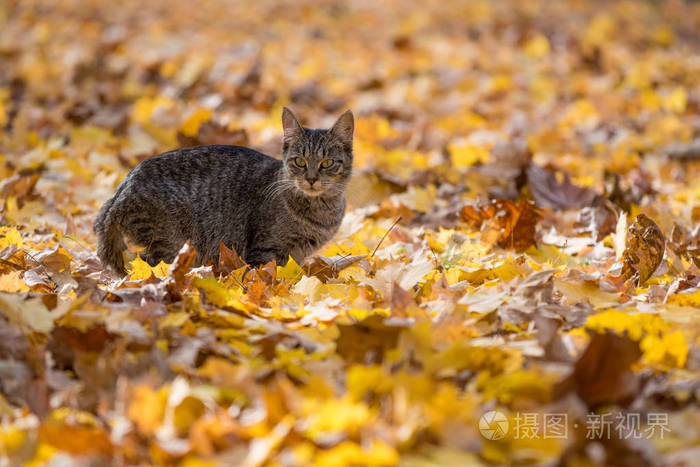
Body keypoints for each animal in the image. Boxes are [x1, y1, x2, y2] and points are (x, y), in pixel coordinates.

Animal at [95, 108, 352, 276]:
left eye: (327, 163)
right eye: (300, 161)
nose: (311, 179)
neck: (320, 211)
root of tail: (122, 187)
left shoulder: (295, 255)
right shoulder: (265, 249)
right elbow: (267, 276)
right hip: (171, 241)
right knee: (146, 268)